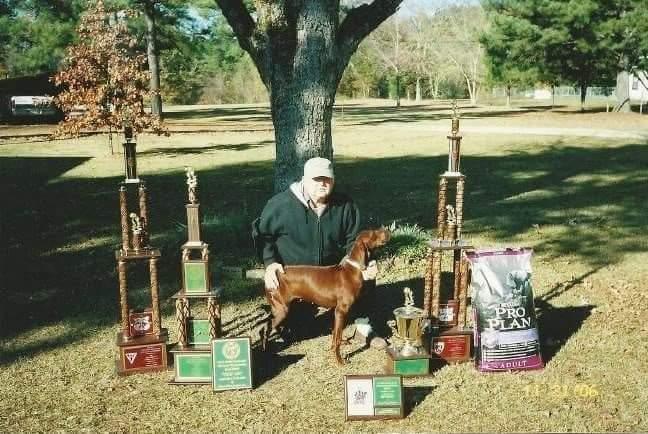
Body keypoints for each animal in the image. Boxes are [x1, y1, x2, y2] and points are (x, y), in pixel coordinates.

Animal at [262, 227, 390, 366]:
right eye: (373, 234)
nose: (386, 229)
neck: (352, 269)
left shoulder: (337, 312)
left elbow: (335, 335)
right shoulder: (341, 310)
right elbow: (337, 338)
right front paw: (339, 360)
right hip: (282, 309)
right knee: (266, 327)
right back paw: (265, 349)